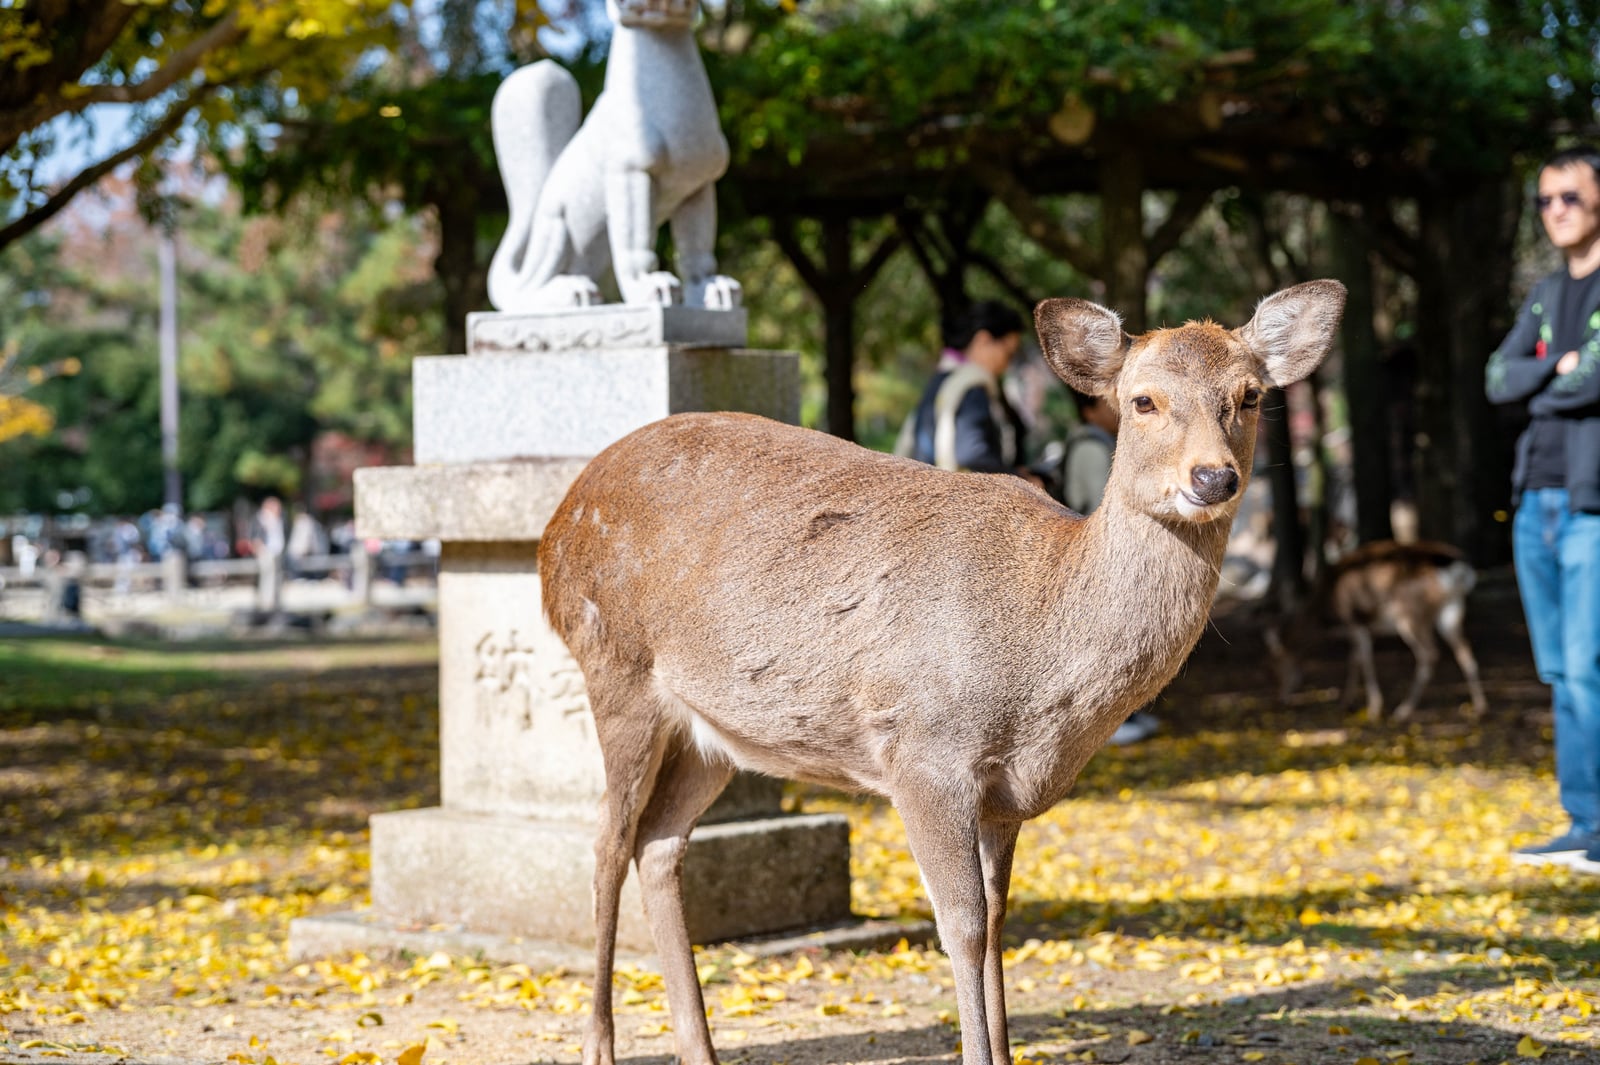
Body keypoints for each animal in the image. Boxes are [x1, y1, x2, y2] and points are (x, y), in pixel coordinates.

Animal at [538, 280, 1346, 1065]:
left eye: (1250, 395)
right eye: (1143, 399)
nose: (1214, 477)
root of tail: (557, 524)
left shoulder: (1005, 794)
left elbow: (999, 921)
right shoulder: (924, 753)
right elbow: (960, 923)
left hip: (715, 732)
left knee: (659, 843)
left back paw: (699, 1048)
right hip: (614, 665)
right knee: (607, 841)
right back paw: (598, 1045)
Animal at [1264, 539, 1489, 722]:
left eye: (1275, 667)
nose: (1279, 699)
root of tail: (1461, 572)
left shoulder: (1354, 619)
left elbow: (1363, 660)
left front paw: (1373, 709)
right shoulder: (1358, 626)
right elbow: (1354, 659)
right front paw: (1346, 703)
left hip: (1410, 615)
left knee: (1430, 654)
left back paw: (1402, 711)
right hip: (1451, 611)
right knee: (1465, 652)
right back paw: (1480, 708)